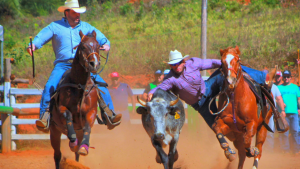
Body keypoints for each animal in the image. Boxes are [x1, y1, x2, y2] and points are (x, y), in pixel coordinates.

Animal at [49, 30, 101, 168]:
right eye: (83, 46)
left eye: (98, 46)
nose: (94, 64)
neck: (79, 86)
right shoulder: (62, 108)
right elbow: (68, 116)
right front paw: (72, 140)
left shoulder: (91, 112)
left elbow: (88, 128)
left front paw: (84, 147)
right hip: (54, 132)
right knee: (57, 155)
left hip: (78, 132)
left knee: (76, 153)